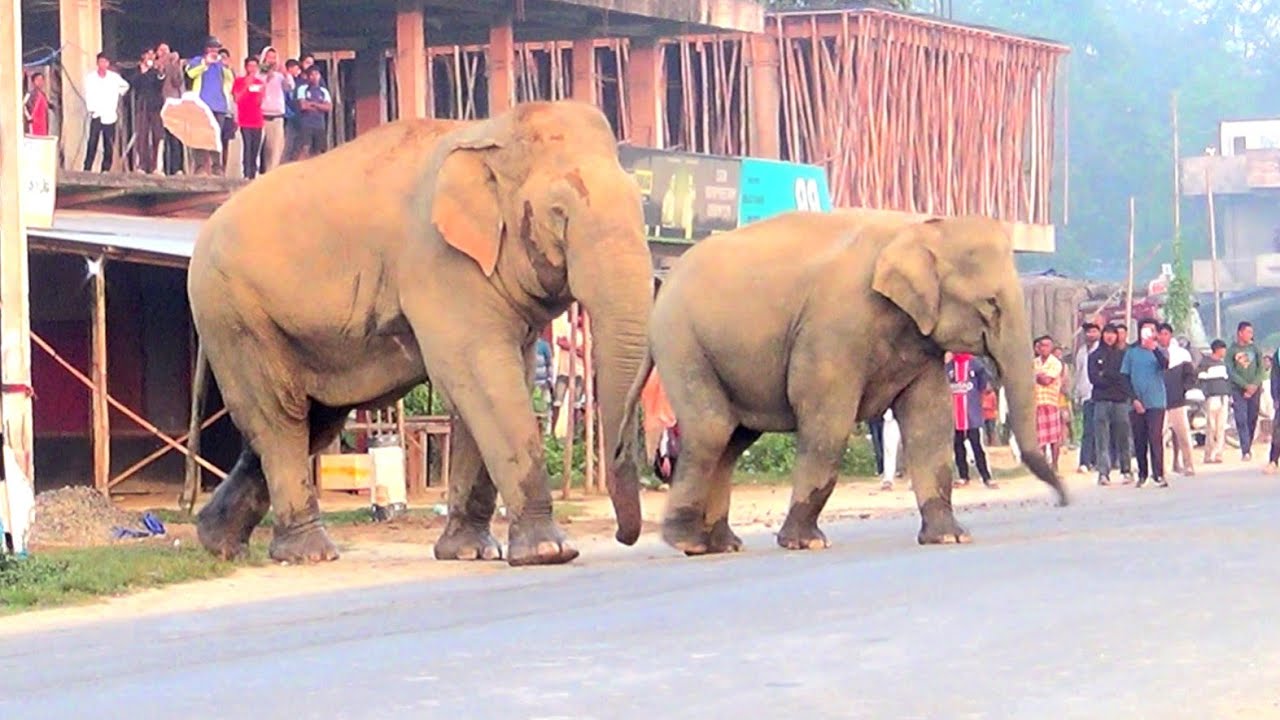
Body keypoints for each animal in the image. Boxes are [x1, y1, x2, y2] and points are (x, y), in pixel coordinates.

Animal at [187, 100, 653, 566]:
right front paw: (549, 551)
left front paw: (470, 552)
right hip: (234, 312)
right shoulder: (439, 260)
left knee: (310, 421)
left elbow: (483, 390)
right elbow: (484, 381)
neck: (490, 131)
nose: (623, 537)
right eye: (559, 213)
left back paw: (218, 542)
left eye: (639, 204)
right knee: (281, 417)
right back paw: (309, 553)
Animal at [617, 209, 1068, 555]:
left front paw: (949, 538)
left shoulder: (920, 341)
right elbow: (827, 424)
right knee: (711, 430)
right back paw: (688, 543)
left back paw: (722, 545)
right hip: (683, 342)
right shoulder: (833, 329)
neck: (916, 226)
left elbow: (929, 425)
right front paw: (806, 543)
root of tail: (661, 290)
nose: (1063, 501)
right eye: (990, 304)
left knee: (732, 439)